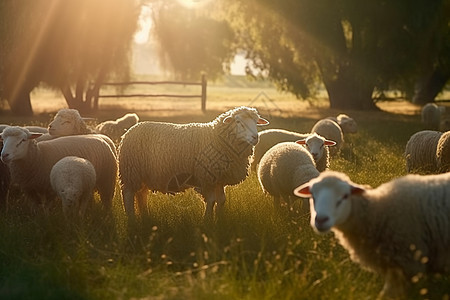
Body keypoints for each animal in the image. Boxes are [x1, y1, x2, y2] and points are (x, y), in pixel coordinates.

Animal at [118, 106, 268, 220]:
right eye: (238, 121)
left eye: (256, 122)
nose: (255, 137)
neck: (217, 138)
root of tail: (128, 132)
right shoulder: (206, 178)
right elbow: (211, 200)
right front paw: (207, 221)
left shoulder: (219, 179)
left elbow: (221, 200)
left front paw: (220, 221)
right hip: (130, 171)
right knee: (128, 194)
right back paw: (132, 219)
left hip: (142, 175)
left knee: (141, 194)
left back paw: (145, 216)